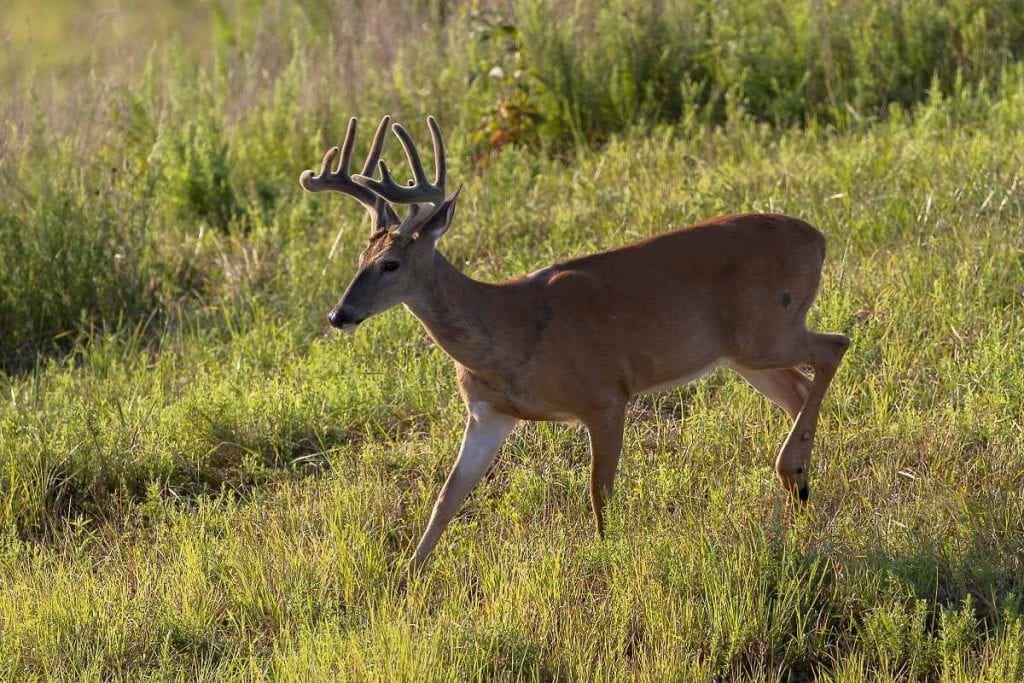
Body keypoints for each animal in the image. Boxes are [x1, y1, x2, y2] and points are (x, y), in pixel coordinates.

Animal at [299, 114, 851, 569]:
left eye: (390, 264)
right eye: (359, 258)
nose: (339, 315)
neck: (511, 331)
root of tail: (819, 237)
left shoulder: (605, 396)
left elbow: (598, 493)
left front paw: (607, 559)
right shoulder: (488, 413)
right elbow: (446, 498)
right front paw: (405, 581)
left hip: (767, 331)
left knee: (835, 345)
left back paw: (792, 468)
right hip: (743, 354)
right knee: (799, 388)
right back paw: (799, 488)